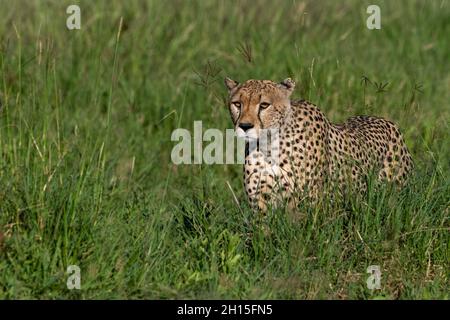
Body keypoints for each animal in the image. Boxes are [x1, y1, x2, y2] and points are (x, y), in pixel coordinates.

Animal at [225, 77, 414, 211]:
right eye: (237, 104)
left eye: (264, 105)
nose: (245, 126)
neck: (269, 145)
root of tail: (387, 121)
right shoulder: (260, 204)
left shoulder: (307, 203)